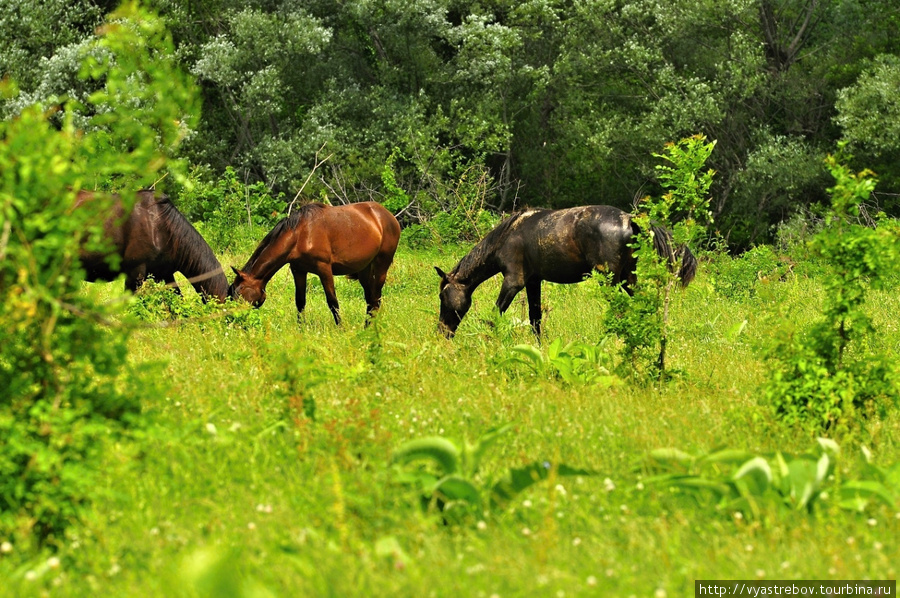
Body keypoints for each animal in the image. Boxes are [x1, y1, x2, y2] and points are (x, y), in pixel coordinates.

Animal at [229, 202, 400, 326]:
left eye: (240, 292)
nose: (235, 320)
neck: (300, 235)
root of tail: (388, 216)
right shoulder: (298, 270)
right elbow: (300, 302)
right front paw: (301, 329)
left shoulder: (324, 269)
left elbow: (333, 302)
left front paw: (341, 328)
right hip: (365, 270)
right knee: (371, 300)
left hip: (381, 265)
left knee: (376, 299)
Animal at [434, 205, 696, 338]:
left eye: (442, 296)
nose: (442, 332)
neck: (507, 236)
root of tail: (629, 220)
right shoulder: (533, 281)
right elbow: (535, 318)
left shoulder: (513, 281)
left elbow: (495, 314)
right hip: (629, 279)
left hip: (611, 281)